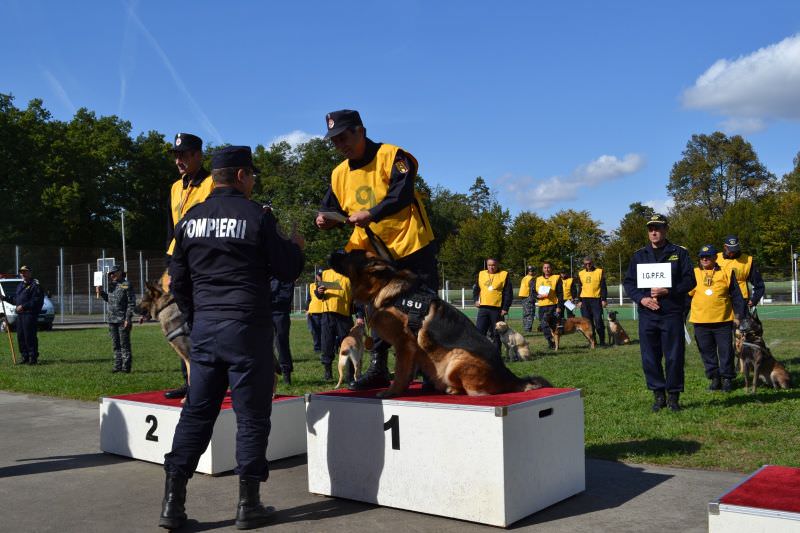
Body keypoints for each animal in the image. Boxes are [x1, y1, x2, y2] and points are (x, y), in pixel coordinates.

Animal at [326, 249, 552, 394]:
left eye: (349, 254)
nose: (329, 255)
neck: (383, 286)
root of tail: (510, 376)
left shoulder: (404, 344)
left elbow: (400, 374)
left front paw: (391, 392)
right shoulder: (411, 350)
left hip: (457, 357)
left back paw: (451, 388)